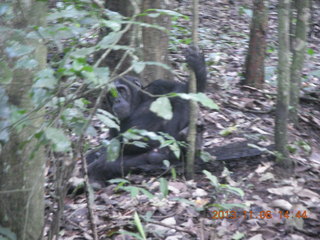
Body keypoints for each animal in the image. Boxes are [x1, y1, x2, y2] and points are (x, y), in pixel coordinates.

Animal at [87, 46, 208, 187]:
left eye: (121, 90)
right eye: (111, 94)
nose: (117, 100)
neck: (139, 101)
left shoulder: (159, 85)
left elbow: (183, 92)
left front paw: (197, 65)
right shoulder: (111, 117)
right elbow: (119, 140)